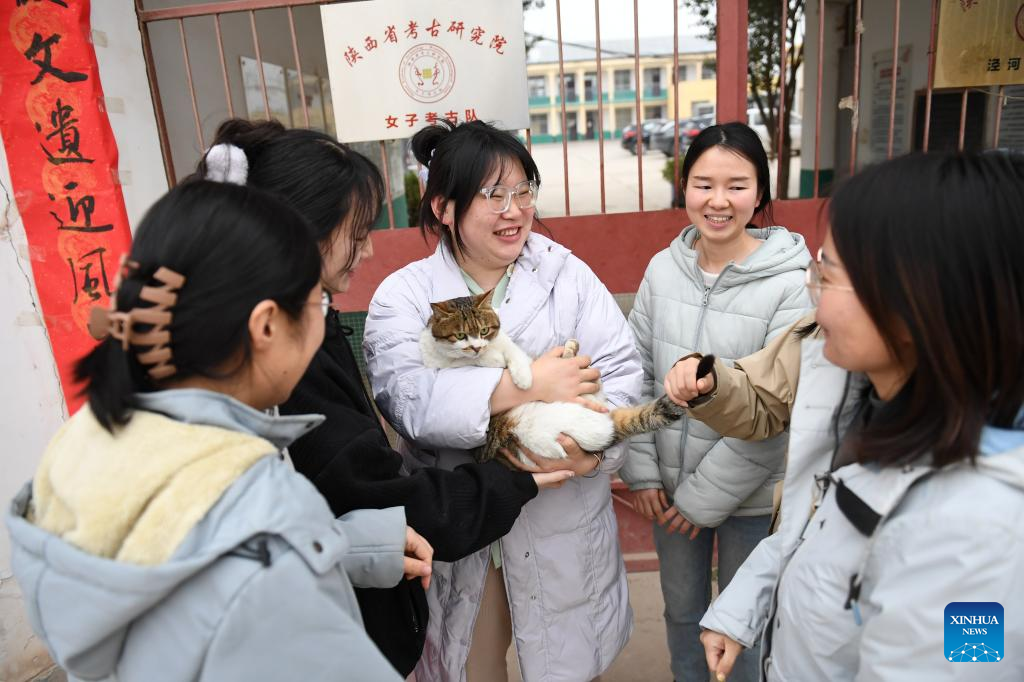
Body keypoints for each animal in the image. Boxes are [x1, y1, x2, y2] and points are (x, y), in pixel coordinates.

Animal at [420, 290, 692, 467]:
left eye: (484, 330)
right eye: (460, 335)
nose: (476, 347)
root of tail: (607, 428)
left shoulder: (507, 344)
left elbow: (514, 354)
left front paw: (522, 376)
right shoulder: (442, 361)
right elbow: (464, 361)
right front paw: (486, 359)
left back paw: (571, 349)